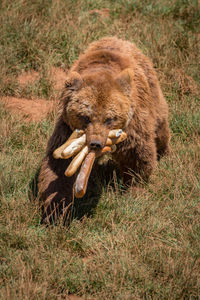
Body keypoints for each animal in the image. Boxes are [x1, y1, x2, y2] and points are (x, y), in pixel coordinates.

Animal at [38, 37, 170, 224]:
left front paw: (135, 188)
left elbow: (136, 155)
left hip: (152, 93)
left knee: (160, 127)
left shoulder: (133, 124)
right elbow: (59, 167)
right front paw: (56, 211)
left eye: (109, 118)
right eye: (85, 116)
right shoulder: (67, 129)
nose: (96, 143)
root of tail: (118, 38)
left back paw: (165, 152)